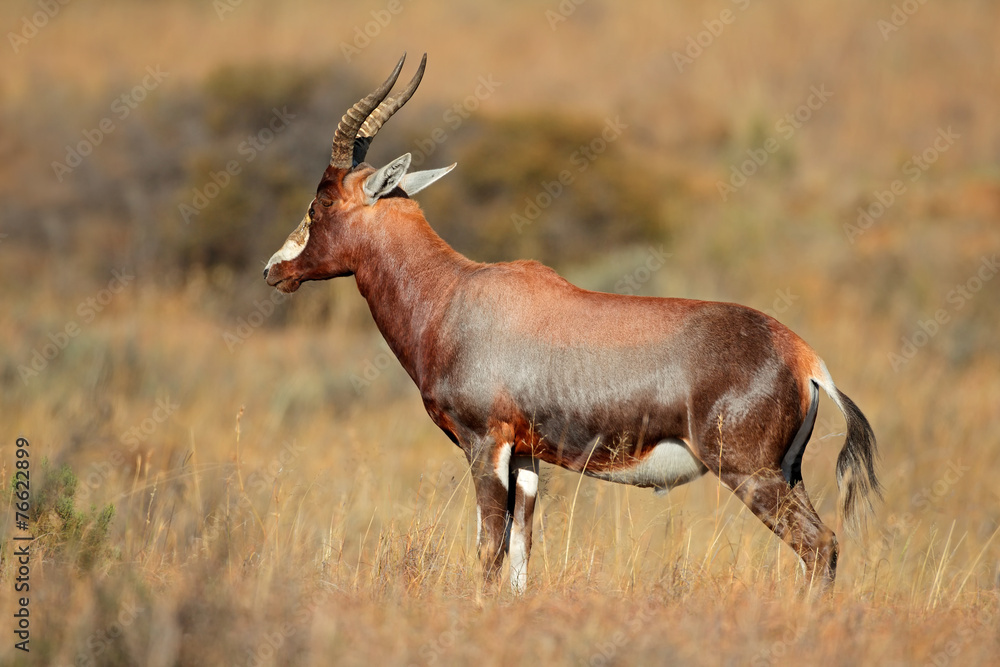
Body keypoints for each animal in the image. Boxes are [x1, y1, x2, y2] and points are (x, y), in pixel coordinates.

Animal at [263, 54, 881, 594]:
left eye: (321, 202)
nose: (274, 271)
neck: (457, 293)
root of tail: (805, 357)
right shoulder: (527, 456)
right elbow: (519, 555)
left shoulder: (484, 445)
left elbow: (488, 549)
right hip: (786, 473)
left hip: (752, 474)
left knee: (819, 545)